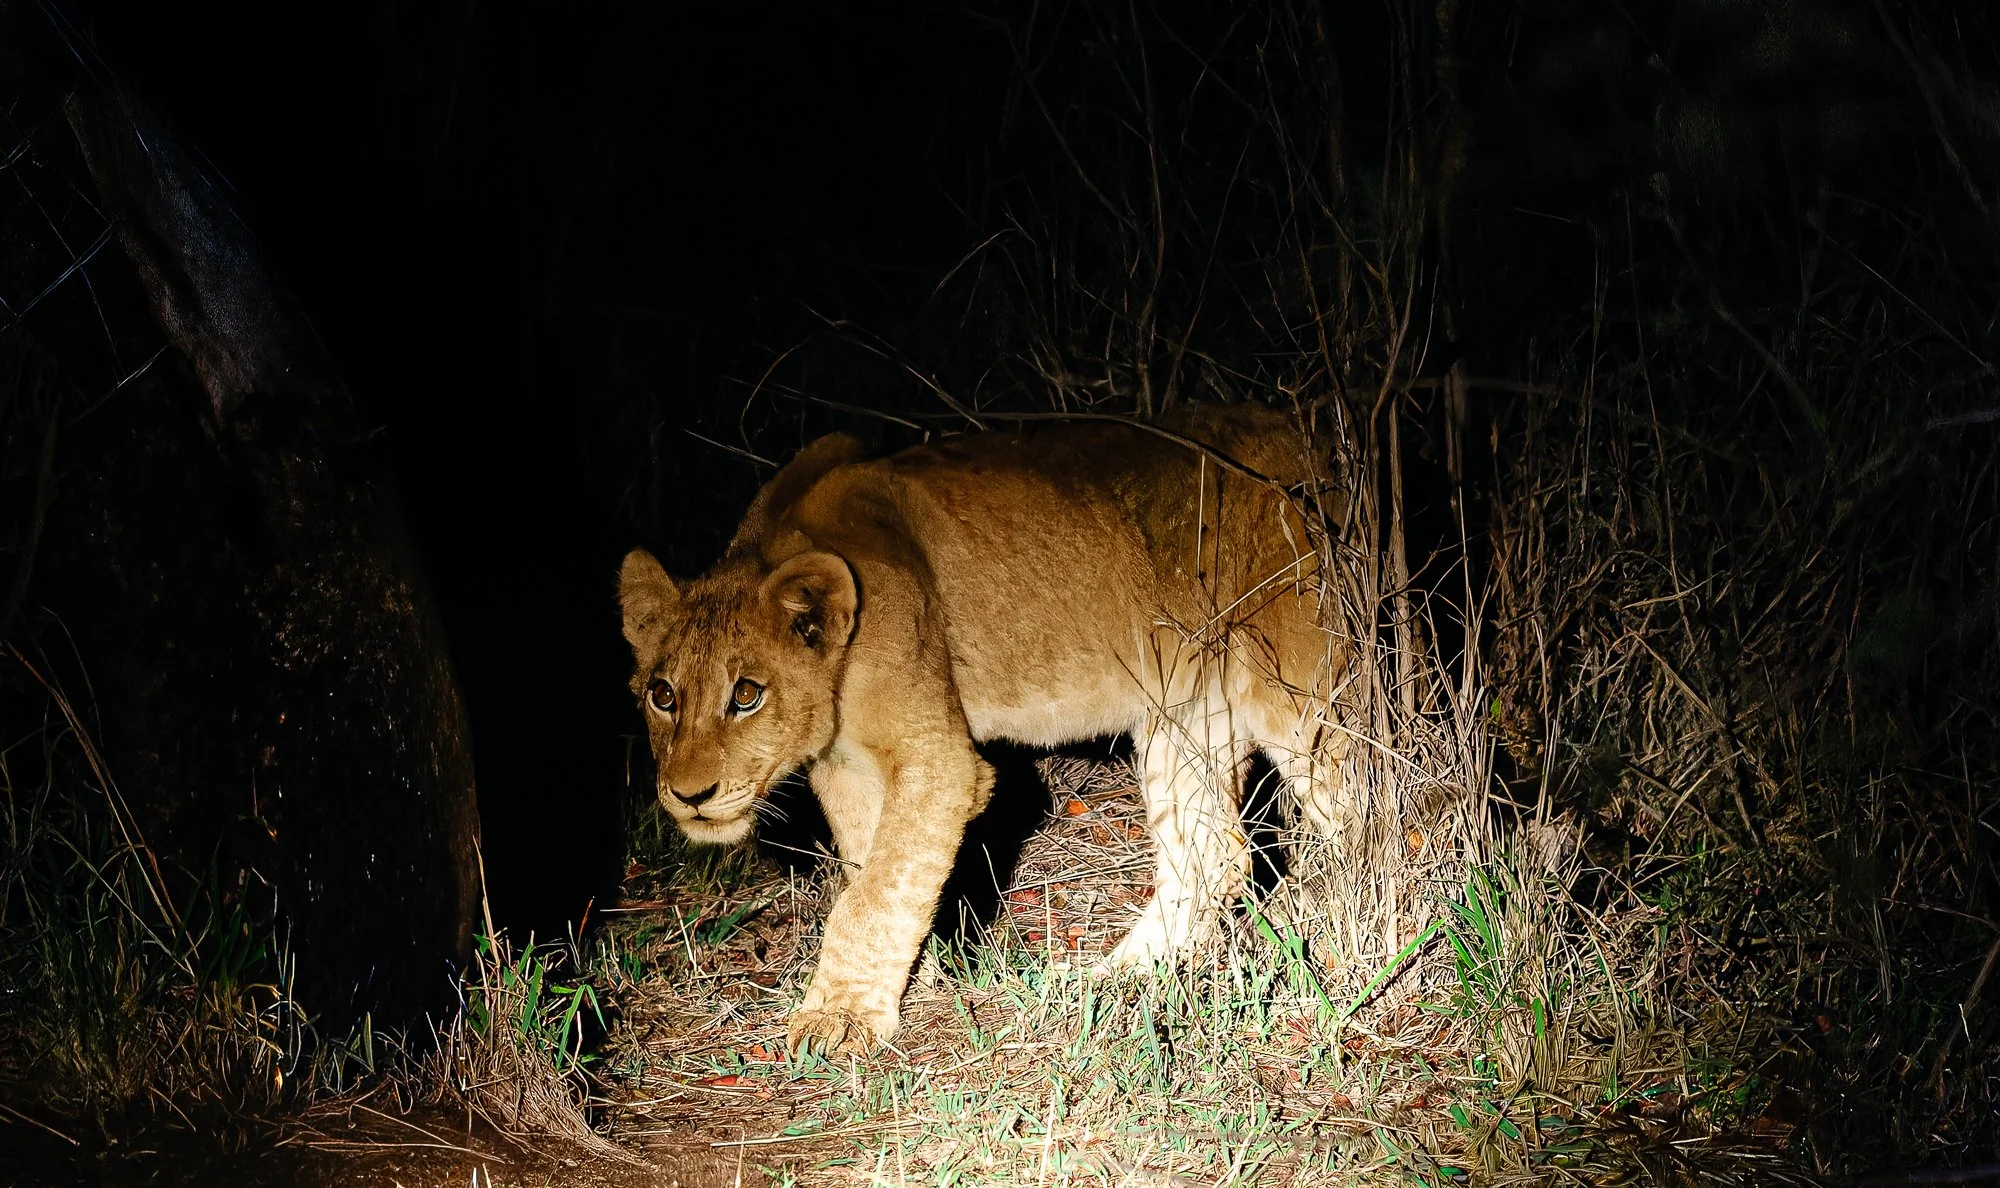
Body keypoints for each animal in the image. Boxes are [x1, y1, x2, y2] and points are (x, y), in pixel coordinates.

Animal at [618, 403, 1349, 1055]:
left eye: (746, 695)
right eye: (663, 695)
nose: (689, 796)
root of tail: (1304, 437)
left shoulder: (939, 763)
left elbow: (872, 893)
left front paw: (839, 1019)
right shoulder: (844, 764)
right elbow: (875, 868)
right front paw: (906, 986)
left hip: (1300, 684)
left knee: (1361, 808)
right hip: (1182, 705)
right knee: (1216, 853)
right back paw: (1113, 979)